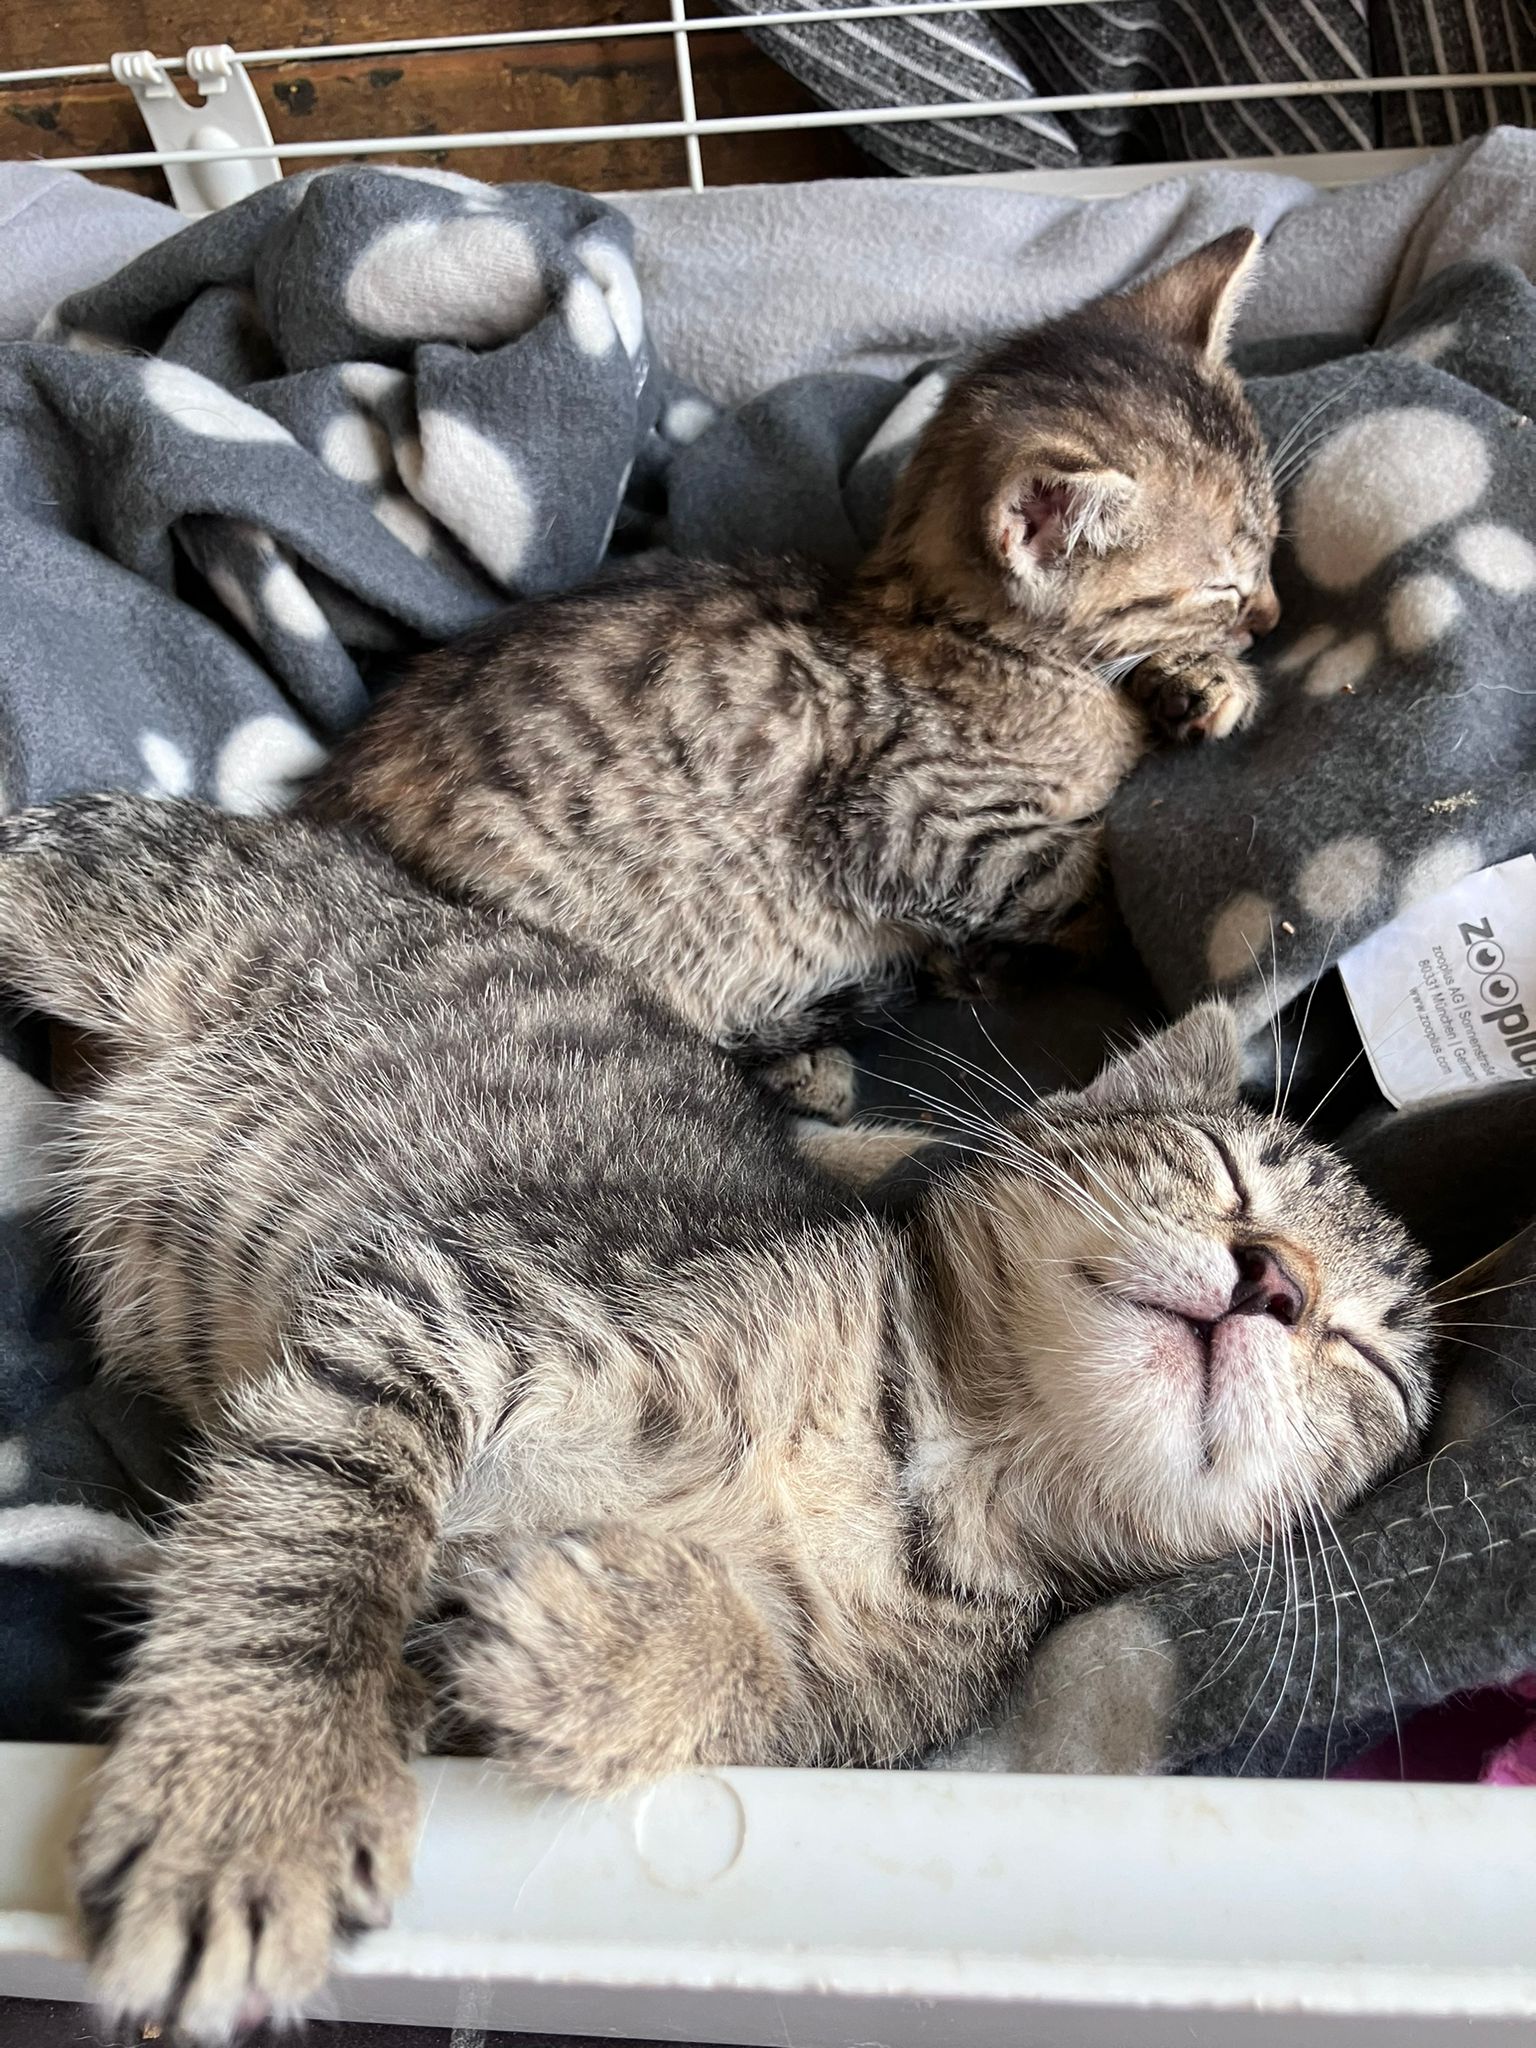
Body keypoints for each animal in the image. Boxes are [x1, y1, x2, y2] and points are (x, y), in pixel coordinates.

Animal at [0, 793, 1425, 2042]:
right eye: (1222, 1164)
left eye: (1375, 1361)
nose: (1277, 1282)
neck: (926, 1450)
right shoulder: (451, 1294)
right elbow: (314, 1537)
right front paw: (254, 1790)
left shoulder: (871, 1716)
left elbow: (759, 1694)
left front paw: (620, 1650)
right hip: (140, 904)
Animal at [301, 226, 1280, 1121]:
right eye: (1221, 588)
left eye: (1272, 545)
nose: (1271, 617)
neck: (973, 640)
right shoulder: (906, 822)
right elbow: (1068, 878)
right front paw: (1108, 938)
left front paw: (1200, 686)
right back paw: (815, 1053)